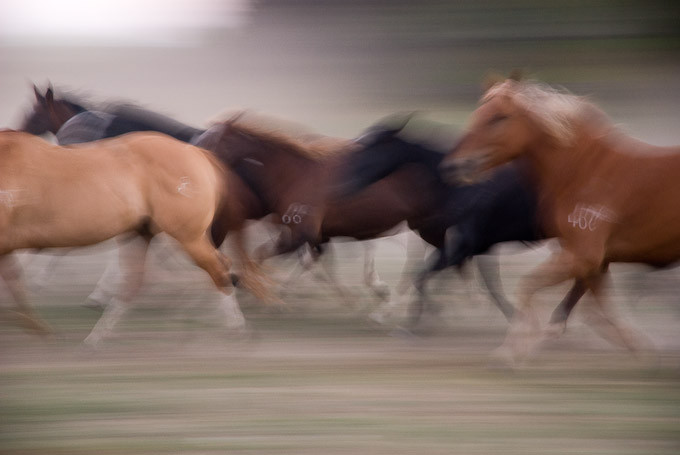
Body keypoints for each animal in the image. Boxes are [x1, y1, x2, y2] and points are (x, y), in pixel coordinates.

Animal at [0, 130, 269, 346]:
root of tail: (197, 153)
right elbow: (15, 283)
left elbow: (15, 285)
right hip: (142, 234)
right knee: (134, 283)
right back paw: (97, 337)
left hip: (187, 237)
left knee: (219, 270)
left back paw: (237, 329)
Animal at [337, 116, 586, 326]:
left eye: (370, 148)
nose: (345, 184)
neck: (453, 191)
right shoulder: (467, 246)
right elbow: (483, 282)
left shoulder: (464, 245)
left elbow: (424, 275)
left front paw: (412, 323)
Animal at [441, 78, 678, 362]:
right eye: (478, 113)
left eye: (499, 117)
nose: (454, 167)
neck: (586, 173)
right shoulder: (592, 261)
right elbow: (599, 304)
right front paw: (641, 347)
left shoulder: (584, 255)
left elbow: (528, 286)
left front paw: (511, 351)